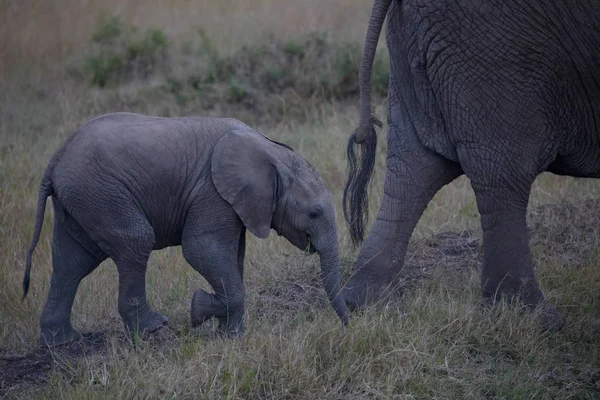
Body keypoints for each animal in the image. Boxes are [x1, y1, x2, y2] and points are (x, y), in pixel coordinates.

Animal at [24, 111, 346, 346]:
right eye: (314, 213)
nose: (347, 324)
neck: (272, 152)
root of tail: (56, 159)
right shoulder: (213, 193)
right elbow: (202, 250)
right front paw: (199, 311)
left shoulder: (235, 203)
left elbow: (234, 257)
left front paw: (229, 337)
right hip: (101, 193)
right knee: (134, 241)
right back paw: (152, 328)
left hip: (83, 198)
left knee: (72, 261)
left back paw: (61, 342)